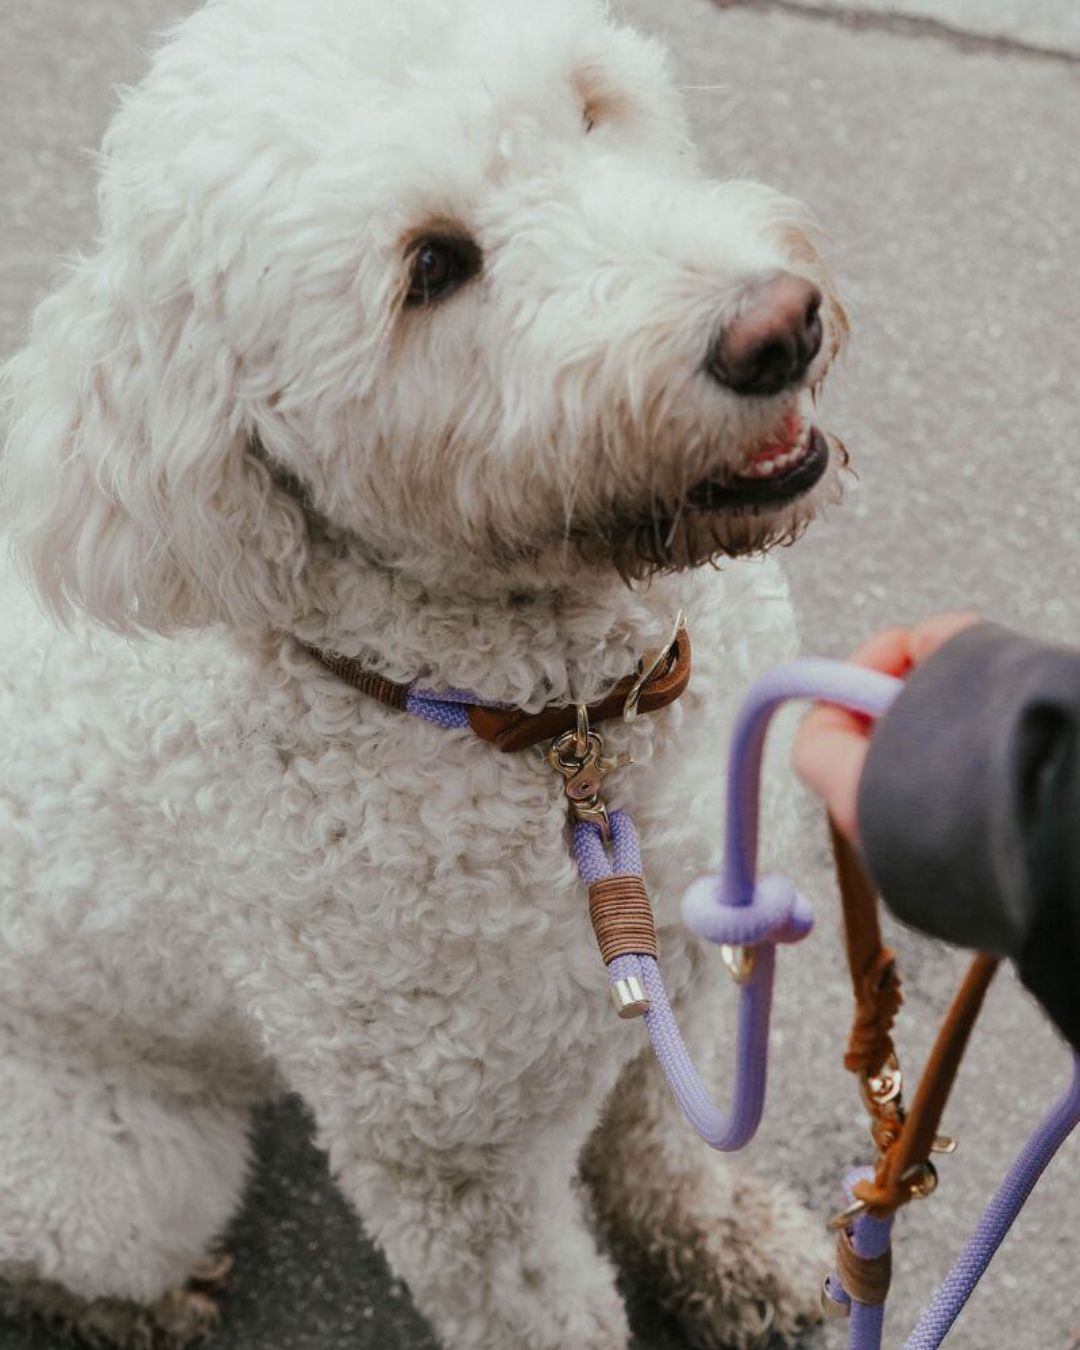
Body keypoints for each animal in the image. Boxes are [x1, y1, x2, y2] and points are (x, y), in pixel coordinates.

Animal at [0, 2, 847, 1350]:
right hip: (120, 1174)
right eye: (433, 268)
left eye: (591, 105)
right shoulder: (457, 1168)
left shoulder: (692, 956)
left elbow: (670, 1139)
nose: (776, 328)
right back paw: (137, 1307)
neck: (562, 723)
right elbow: (541, 1307)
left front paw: (730, 1251)